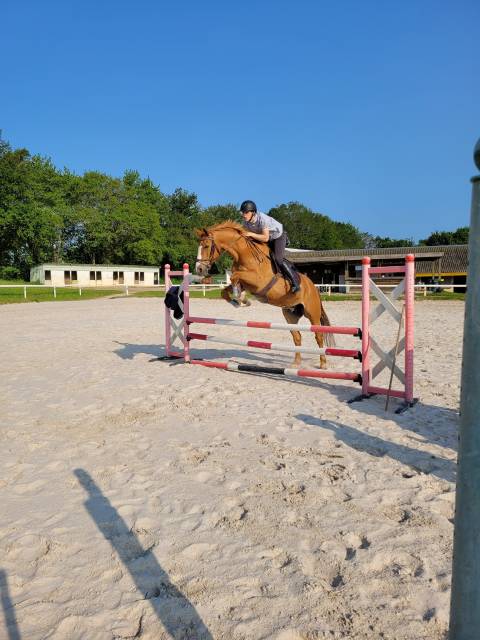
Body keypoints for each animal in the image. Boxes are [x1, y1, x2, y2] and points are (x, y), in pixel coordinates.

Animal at [195, 221, 334, 368]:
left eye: (206, 246)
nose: (199, 269)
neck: (244, 254)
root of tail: (313, 287)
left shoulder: (259, 281)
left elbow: (234, 277)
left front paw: (241, 298)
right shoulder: (246, 283)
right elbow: (226, 290)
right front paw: (239, 302)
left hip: (312, 314)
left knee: (318, 336)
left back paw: (323, 364)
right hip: (290, 314)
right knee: (297, 336)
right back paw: (296, 363)